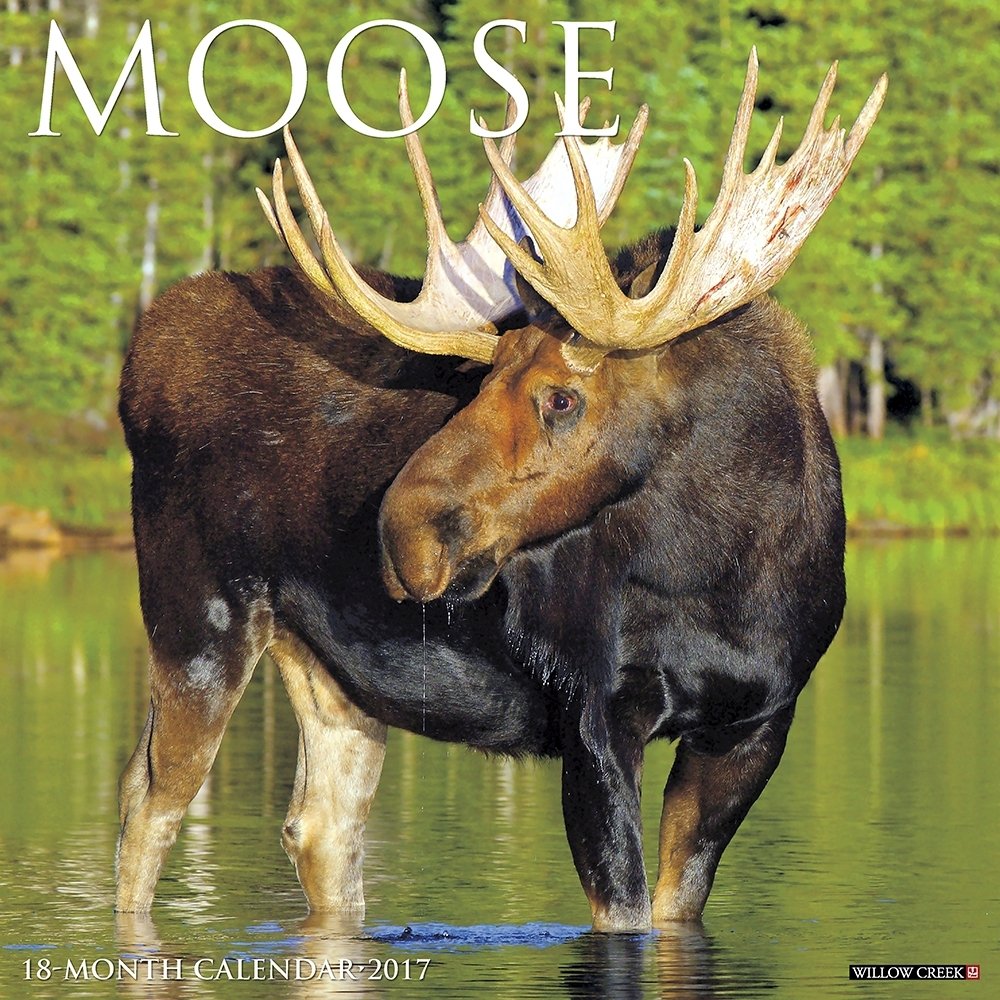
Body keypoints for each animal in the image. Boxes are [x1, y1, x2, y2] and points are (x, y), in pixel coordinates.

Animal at [116, 51, 886, 932]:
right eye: (479, 381)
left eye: (562, 398)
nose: (402, 530)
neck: (727, 573)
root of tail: (141, 349)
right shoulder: (593, 715)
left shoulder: (755, 724)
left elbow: (672, 909)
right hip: (197, 620)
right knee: (146, 807)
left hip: (330, 664)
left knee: (318, 830)